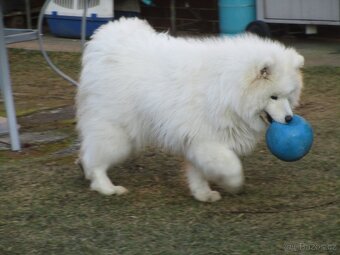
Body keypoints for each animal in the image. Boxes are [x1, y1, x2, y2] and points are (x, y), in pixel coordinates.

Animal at [77, 17, 306, 202]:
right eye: (273, 97)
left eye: (288, 96)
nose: (289, 118)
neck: (228, 88)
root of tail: (103, 41)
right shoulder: (207, 140)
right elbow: (231, 164)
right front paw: (234, 183)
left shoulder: (197, 140)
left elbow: (198, 171)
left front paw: (203, 194)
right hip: (117, 132)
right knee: (95, 159)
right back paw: (106, 187)